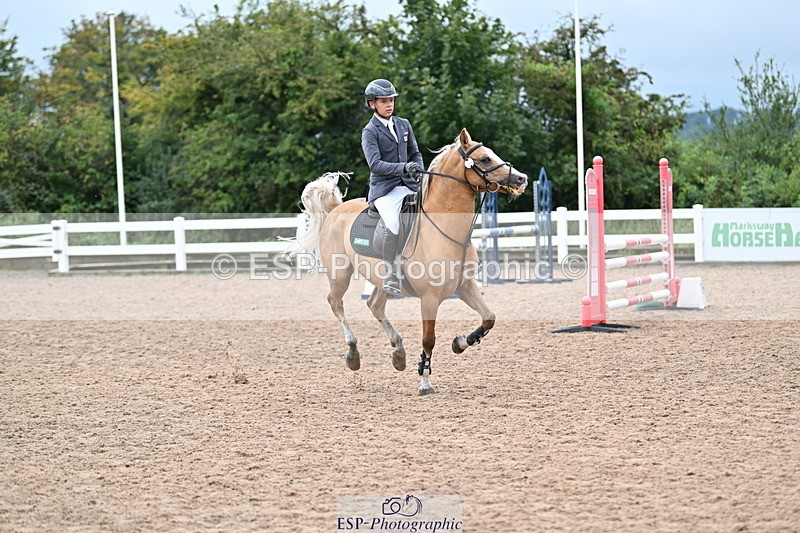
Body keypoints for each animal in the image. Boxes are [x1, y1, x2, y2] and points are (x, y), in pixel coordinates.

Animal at [297, 128, 528, 395]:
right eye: (484, 159)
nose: (521, 179)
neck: (445, 229)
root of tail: (335, 211)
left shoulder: (465, 287)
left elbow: (489, 318)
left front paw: (460, 343)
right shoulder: (429, 298)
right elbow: (429, 339)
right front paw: (425, 381)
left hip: (382, 281)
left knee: (375, 305)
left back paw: (398, 353)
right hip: (340, 274)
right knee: (336, 303)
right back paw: (353, 354)